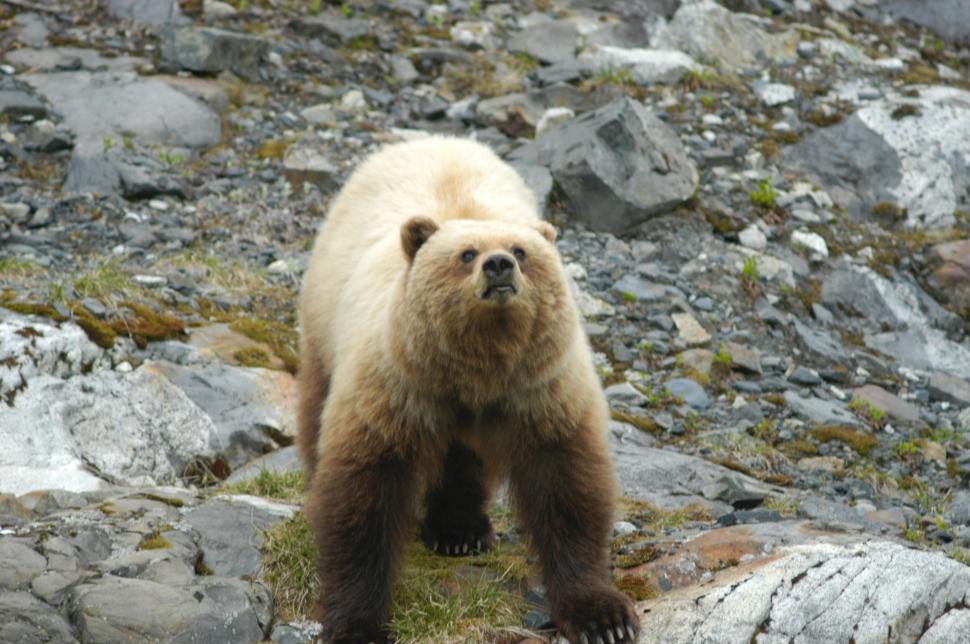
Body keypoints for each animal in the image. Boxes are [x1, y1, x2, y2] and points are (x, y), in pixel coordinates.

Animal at [296, 136, 639, 644]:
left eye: (520, 250)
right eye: (466, 254)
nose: (498, 265)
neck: (478, 368)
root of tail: (433, 138)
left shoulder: (541, 390)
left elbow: (567, 487)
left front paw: (603, 617)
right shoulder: (396, 387)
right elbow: (363, 496)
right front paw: (358, 625)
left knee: (463, 458)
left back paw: (460, 530)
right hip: (324, 320)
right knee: (316, 406)